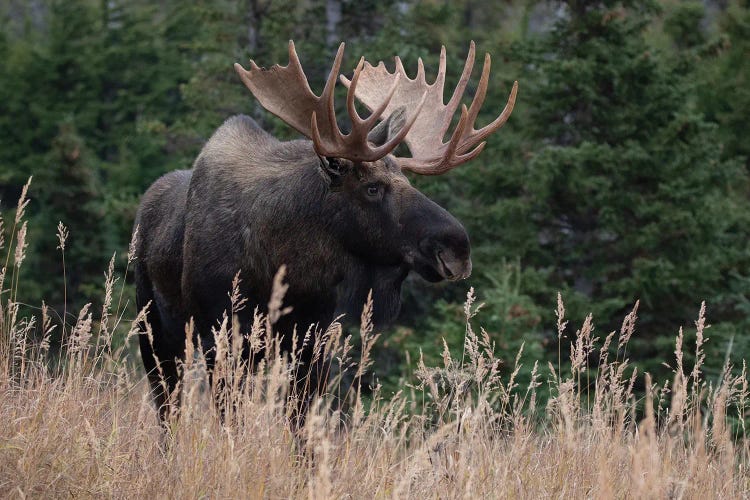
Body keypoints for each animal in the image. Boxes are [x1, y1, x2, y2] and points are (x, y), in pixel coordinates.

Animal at [134, 40, 516, 422]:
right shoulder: (222, 336)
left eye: (408, 181)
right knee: (167, 407)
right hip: (155, 329)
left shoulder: (311, 341)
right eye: (372, 188)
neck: (283, 265)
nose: (456, 248)